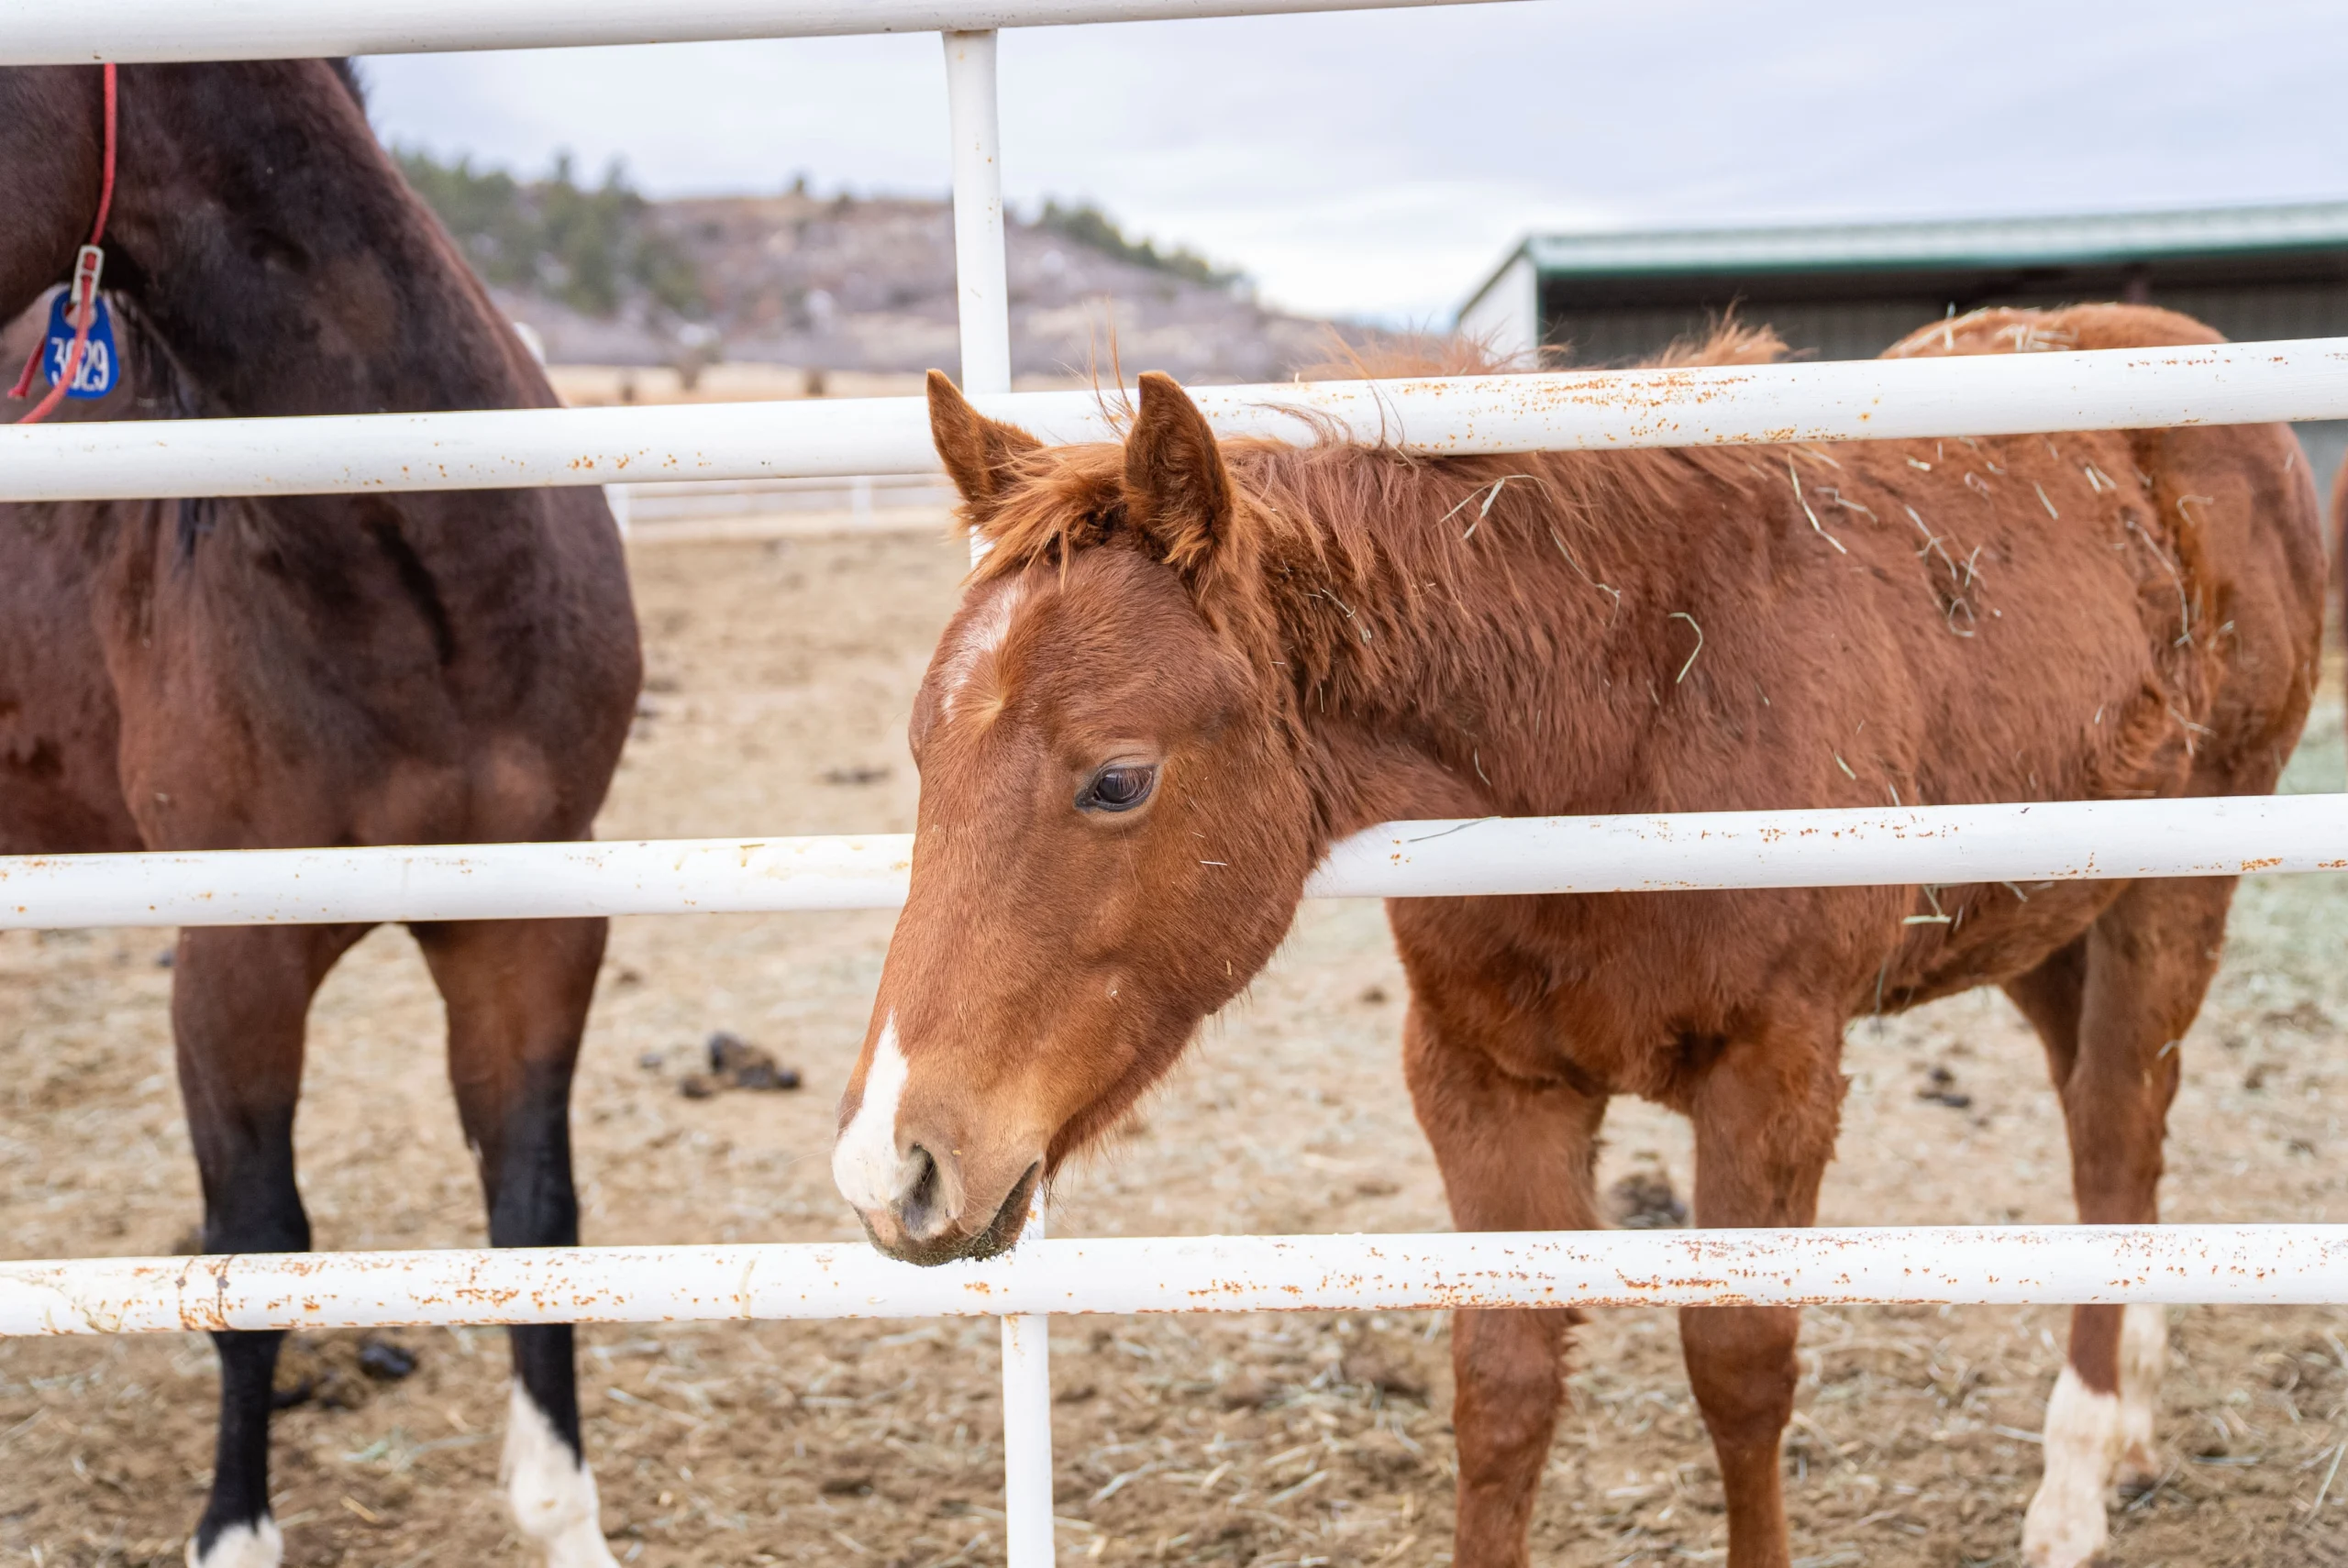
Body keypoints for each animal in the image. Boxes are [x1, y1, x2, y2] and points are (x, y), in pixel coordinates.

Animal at [0, 63, 640, 1568]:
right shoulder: (235, 957)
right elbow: (261, 1243)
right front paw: (235, 1529)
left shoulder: (533, 919)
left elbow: (538, 1216)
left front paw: (561, 1513)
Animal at [829, 306, 2322, 1568]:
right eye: (918, 751)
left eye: (1118, 779)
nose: (892, 1165)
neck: (1627, 716)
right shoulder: (1486, 1081)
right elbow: (1504, 1384)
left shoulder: (1775, 1076)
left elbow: (1739, 1371)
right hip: (2056, 920)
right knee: (2110, 1132)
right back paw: (2129, 1424)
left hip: (2175, 890)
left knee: (2117, 1126)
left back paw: (2073, 1486)